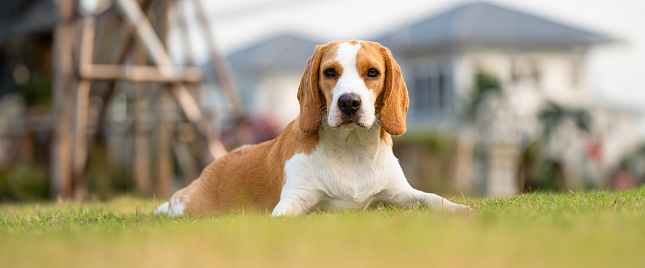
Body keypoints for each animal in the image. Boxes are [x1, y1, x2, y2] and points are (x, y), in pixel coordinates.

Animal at [156, 40, 468, 216]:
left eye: (373, 73)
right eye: (330, 72)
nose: (349, 102)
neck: (351, 149)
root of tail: (213, 165)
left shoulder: (399, 194)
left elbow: (434, 199)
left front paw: (461, 209)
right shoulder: (295, 199)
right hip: (186, 204)